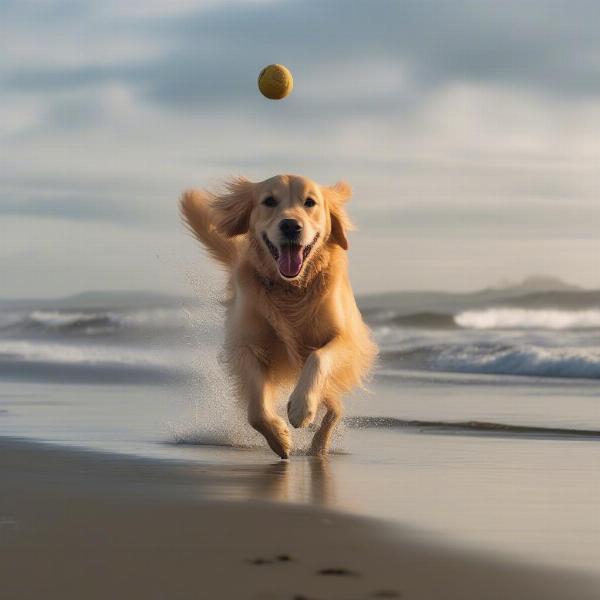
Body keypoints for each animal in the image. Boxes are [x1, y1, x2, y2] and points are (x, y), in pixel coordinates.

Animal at [179, 176, 376, 458]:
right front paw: (280, 438)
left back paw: (319, 445)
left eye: (310, 202)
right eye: (269, 201)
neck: (290, 289)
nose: (291, 225)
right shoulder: (246, 345)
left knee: (336, 408)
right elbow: (256, 409)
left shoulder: (346, 339)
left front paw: (302, 408)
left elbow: (319, 357)